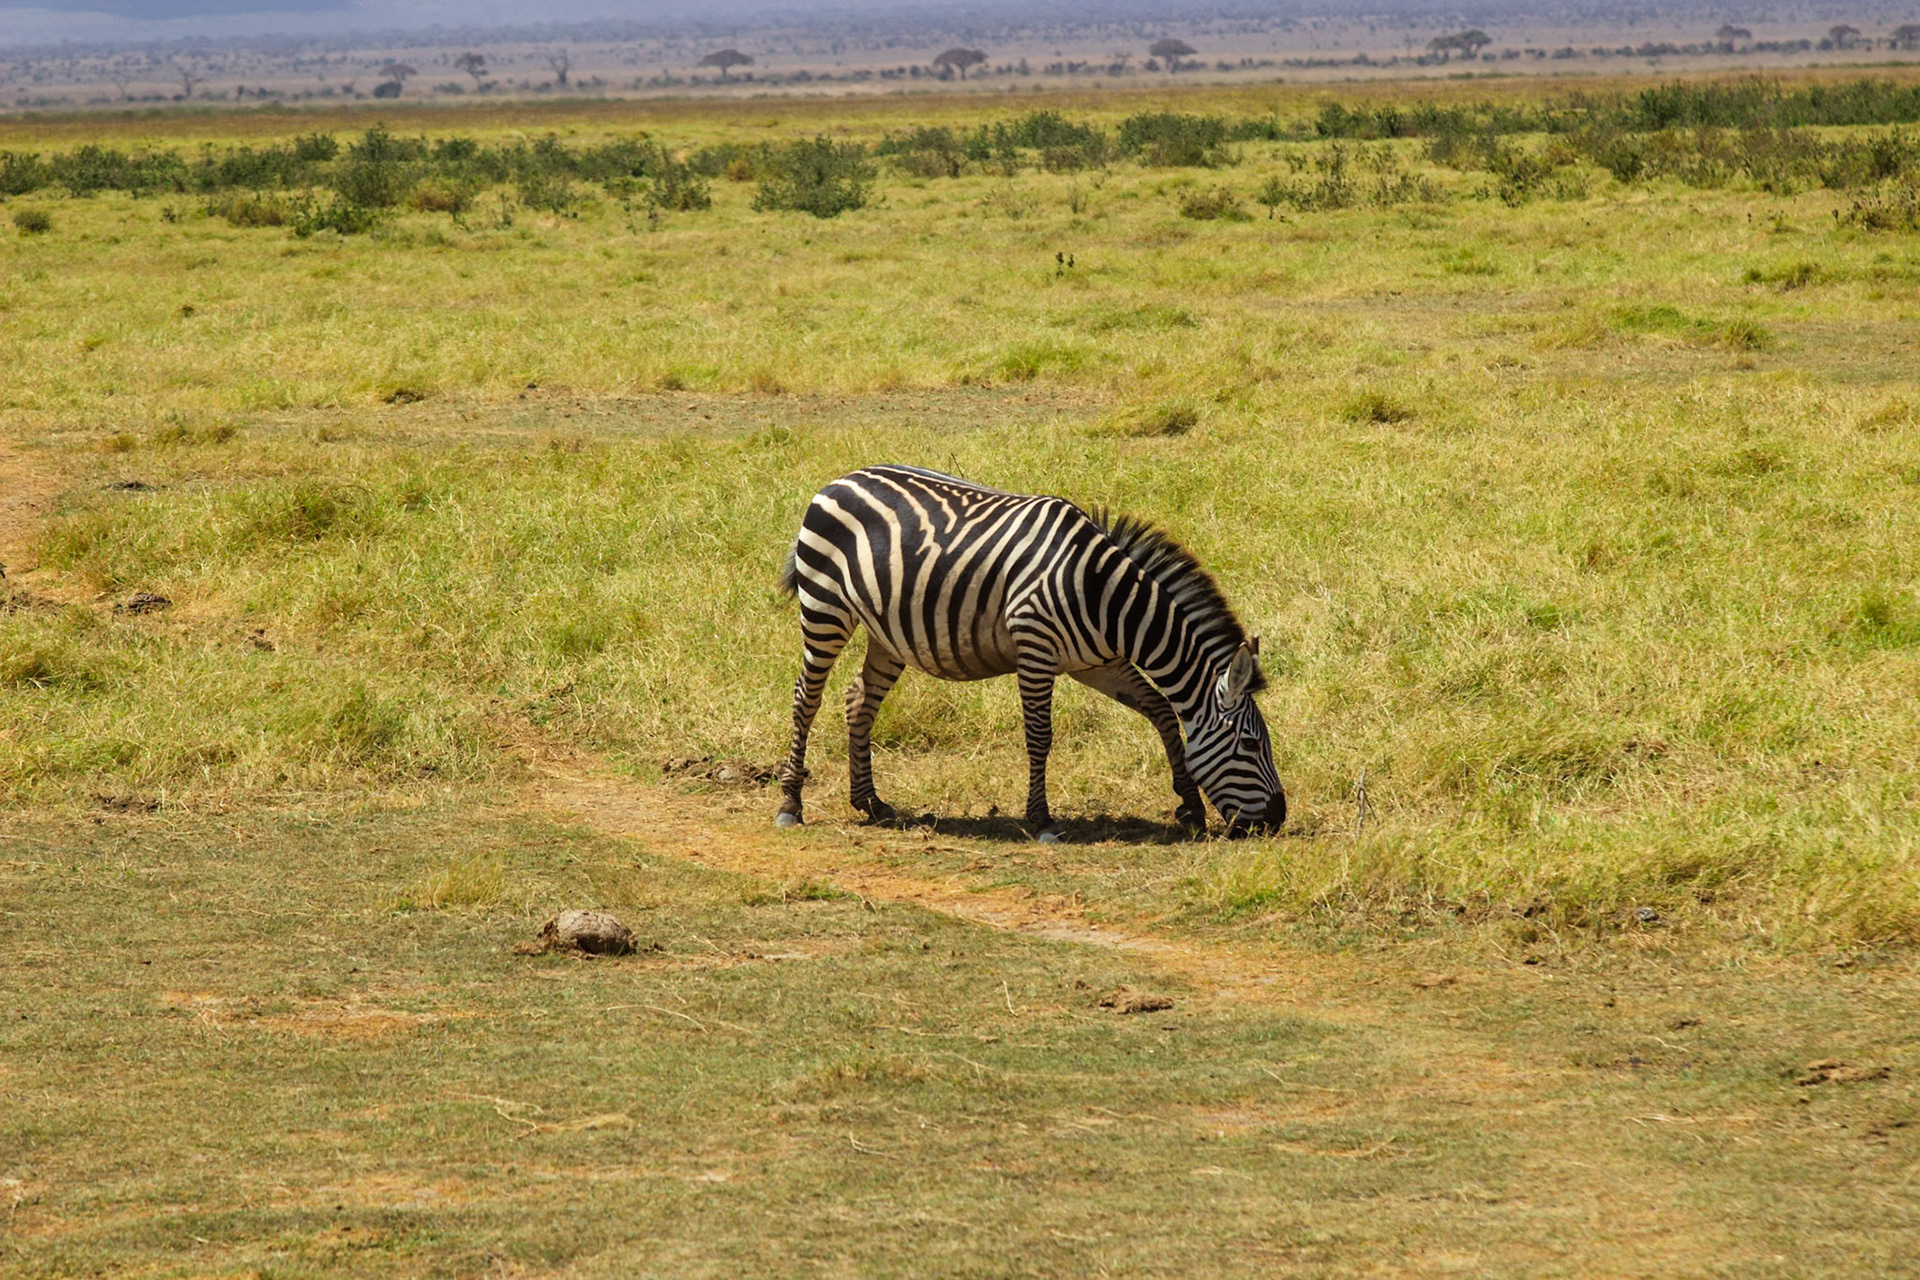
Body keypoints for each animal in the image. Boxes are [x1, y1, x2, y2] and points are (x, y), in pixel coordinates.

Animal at [774, 465, 1286, 841]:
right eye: (1250, 744)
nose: (1277, 820)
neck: (1108, 599)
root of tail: (841, 479)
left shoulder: (1099, 663)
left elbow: (1161, 711)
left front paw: (1190, 805)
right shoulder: (1035, 648)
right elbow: (1040, 736)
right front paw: (1042, 821)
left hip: (887, 630)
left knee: (859, 700)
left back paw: (871, 803)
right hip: (825, 608)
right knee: (806, 698)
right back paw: (791, 805)